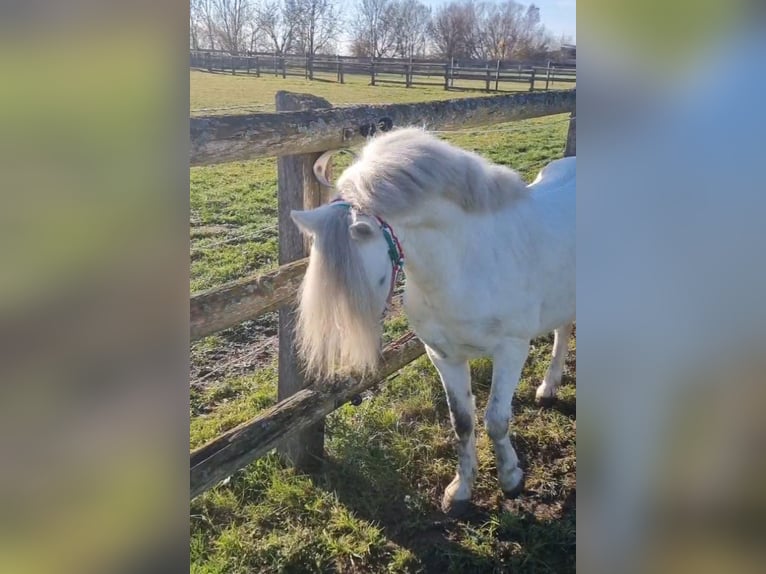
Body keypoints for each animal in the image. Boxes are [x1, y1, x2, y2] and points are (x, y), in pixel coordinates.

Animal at [290, 127, 575, 514]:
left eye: (369, 281)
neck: (465, 264)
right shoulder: (443, 355)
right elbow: (463, 423)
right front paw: (460, 491)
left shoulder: (512, 350)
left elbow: (496, 420)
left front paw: (511, 478)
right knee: (564, 328)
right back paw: (549, 389)